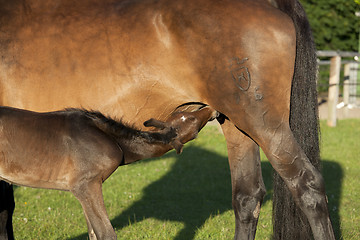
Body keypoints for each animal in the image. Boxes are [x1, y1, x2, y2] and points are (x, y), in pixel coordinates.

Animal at [0, 106, 217, 239]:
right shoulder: (85, 186)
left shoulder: (88, 189)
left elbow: (93, 233)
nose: (211, 109)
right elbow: (106, 233)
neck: (110, 137)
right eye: (191, 118)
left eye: (187, 112)